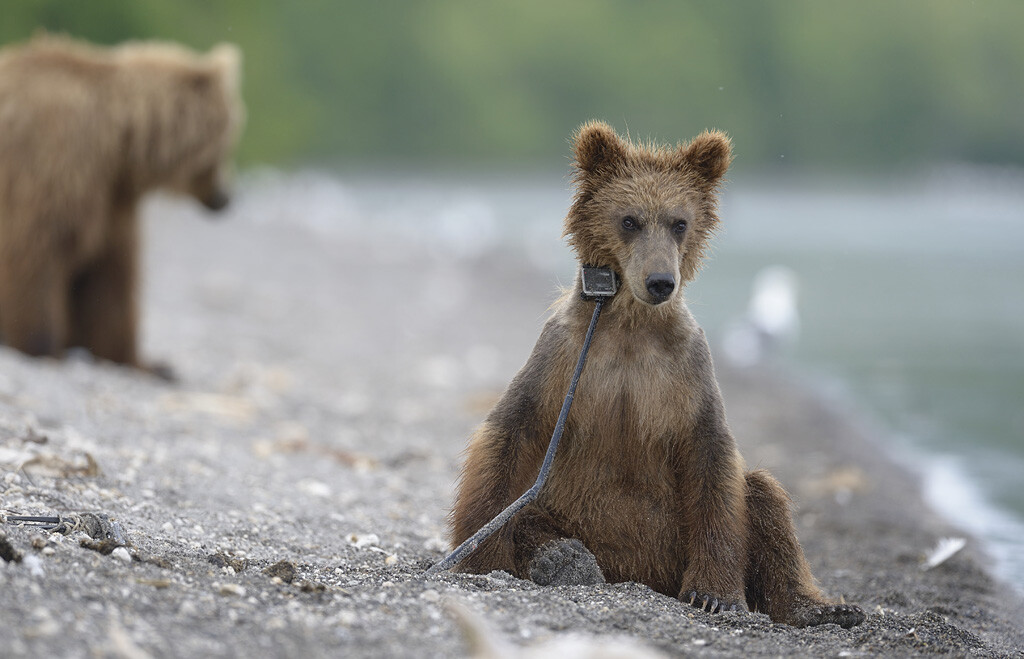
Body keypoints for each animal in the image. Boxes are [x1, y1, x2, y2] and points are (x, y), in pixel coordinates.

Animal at [0, 34, 243, 376]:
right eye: (227, 142)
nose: (226, 198)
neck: (118, 145)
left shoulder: (111, 201)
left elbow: (111, 277)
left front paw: (148, 364)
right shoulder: (52, 165)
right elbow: (35, 253)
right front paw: (42, 348)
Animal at [448, 119, 864, 626]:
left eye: (679, 222)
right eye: (629, 220)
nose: (661, 281)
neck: (630, 326)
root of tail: (640, 576)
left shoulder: (686, 369)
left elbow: (712, 458)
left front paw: (714, 593)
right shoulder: (564, 358)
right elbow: (509, 434)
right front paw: (480, 560)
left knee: (763, 495)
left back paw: (822, 608)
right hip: (568, 509)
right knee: (528, 515)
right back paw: (563, 559)